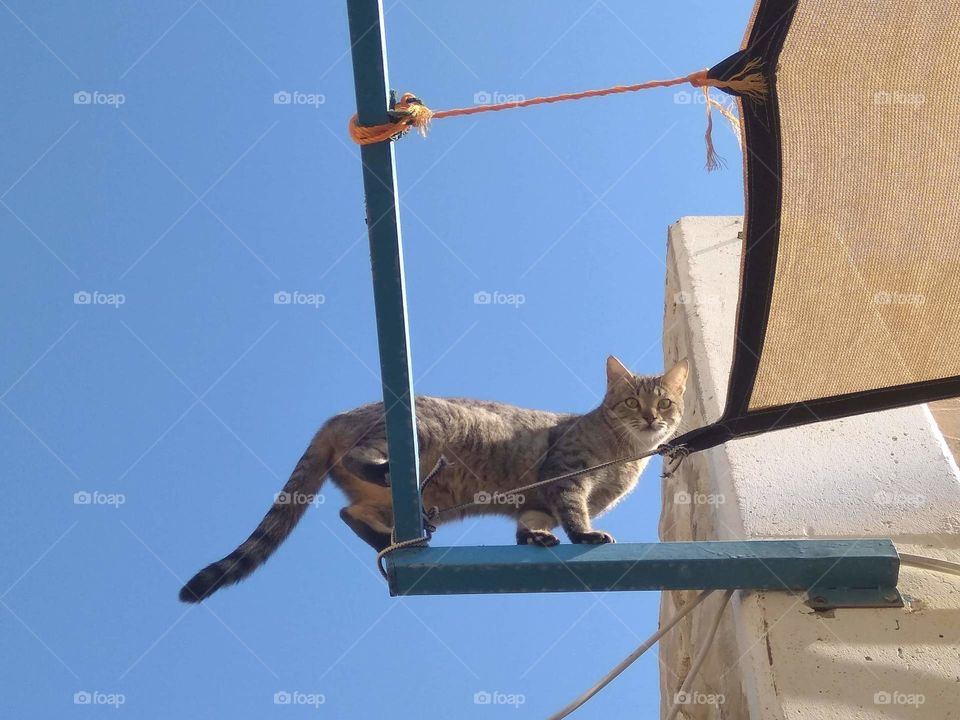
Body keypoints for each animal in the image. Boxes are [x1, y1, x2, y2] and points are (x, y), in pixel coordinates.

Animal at [180, 356, 688, 600]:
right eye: (631, 402)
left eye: (664, 403)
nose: (650, 417)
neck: (625, 454)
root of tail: (337, 416)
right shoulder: (566, 476)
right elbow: (573, 513)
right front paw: (584, 535)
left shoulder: (537, 501)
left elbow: (532, 522)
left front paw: (536, 540)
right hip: (423, 434)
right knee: (363, 464)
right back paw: (387, 477)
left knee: (351, 512)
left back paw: (394, 537)